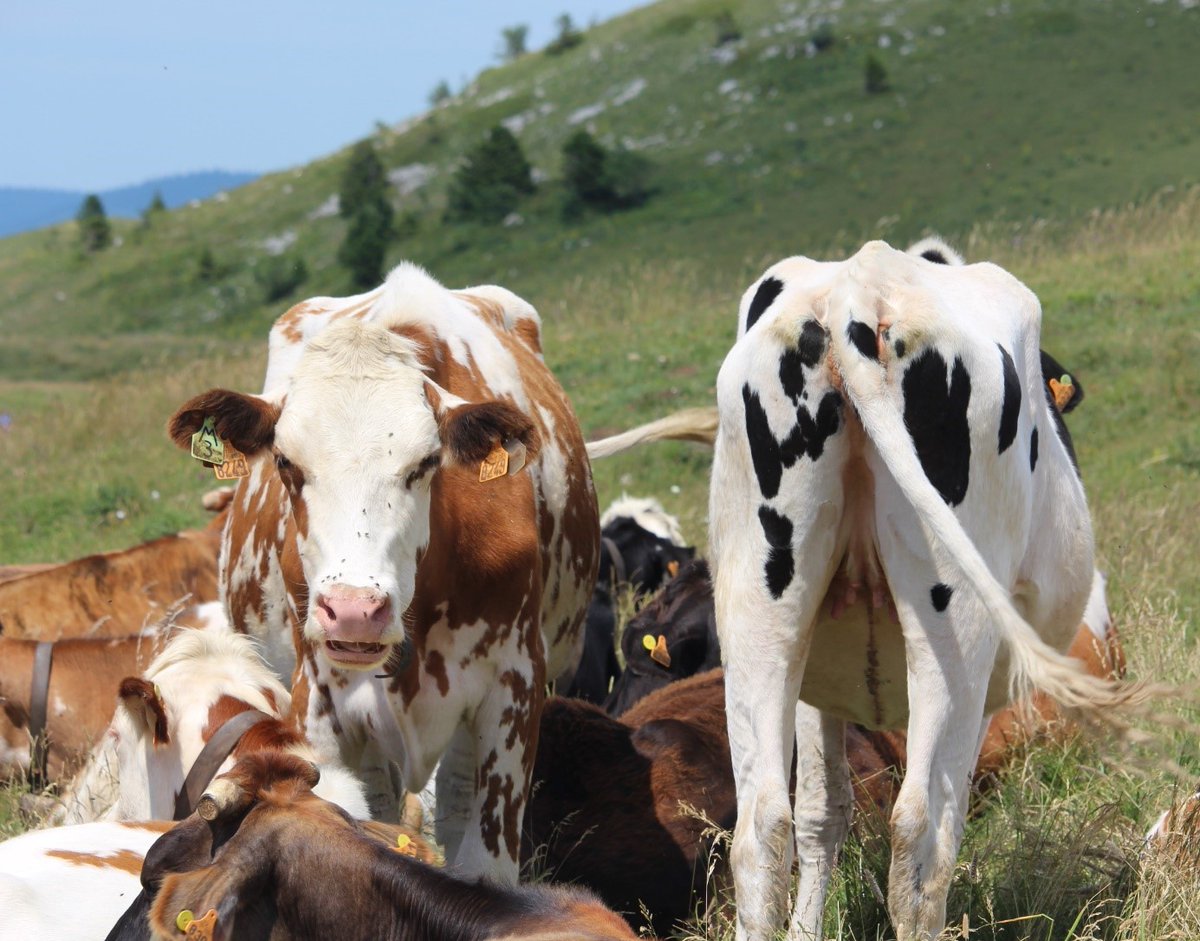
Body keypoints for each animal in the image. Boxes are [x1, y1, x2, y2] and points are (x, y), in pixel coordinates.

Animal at [166, 264, 599, 882]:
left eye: (426, 463)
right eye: (286, 463)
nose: (354, 611)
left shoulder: (513, 689)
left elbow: (484, 863)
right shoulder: (319, 704)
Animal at [702, 240, 1145, 940]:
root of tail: (863, 283)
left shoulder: (818, 678)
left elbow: (821, 810)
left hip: (760, 609)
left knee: (762, 830)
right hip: (957, 628)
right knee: (922, 836)